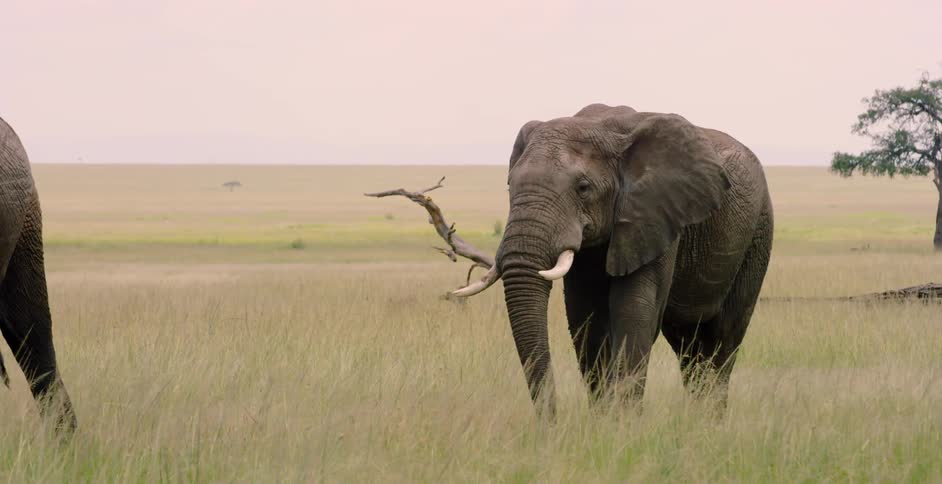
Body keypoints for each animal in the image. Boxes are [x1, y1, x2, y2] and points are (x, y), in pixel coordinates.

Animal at [454, 104, 773, 416]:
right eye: (509, 185)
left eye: (583, 187)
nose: (552, 422)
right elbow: (585, 317)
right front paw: (603, 420)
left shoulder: (656, 214)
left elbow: (634, 311)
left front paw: (624, 423)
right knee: (687, 344)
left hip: (758, 232)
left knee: (724, 338)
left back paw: (710, 420)